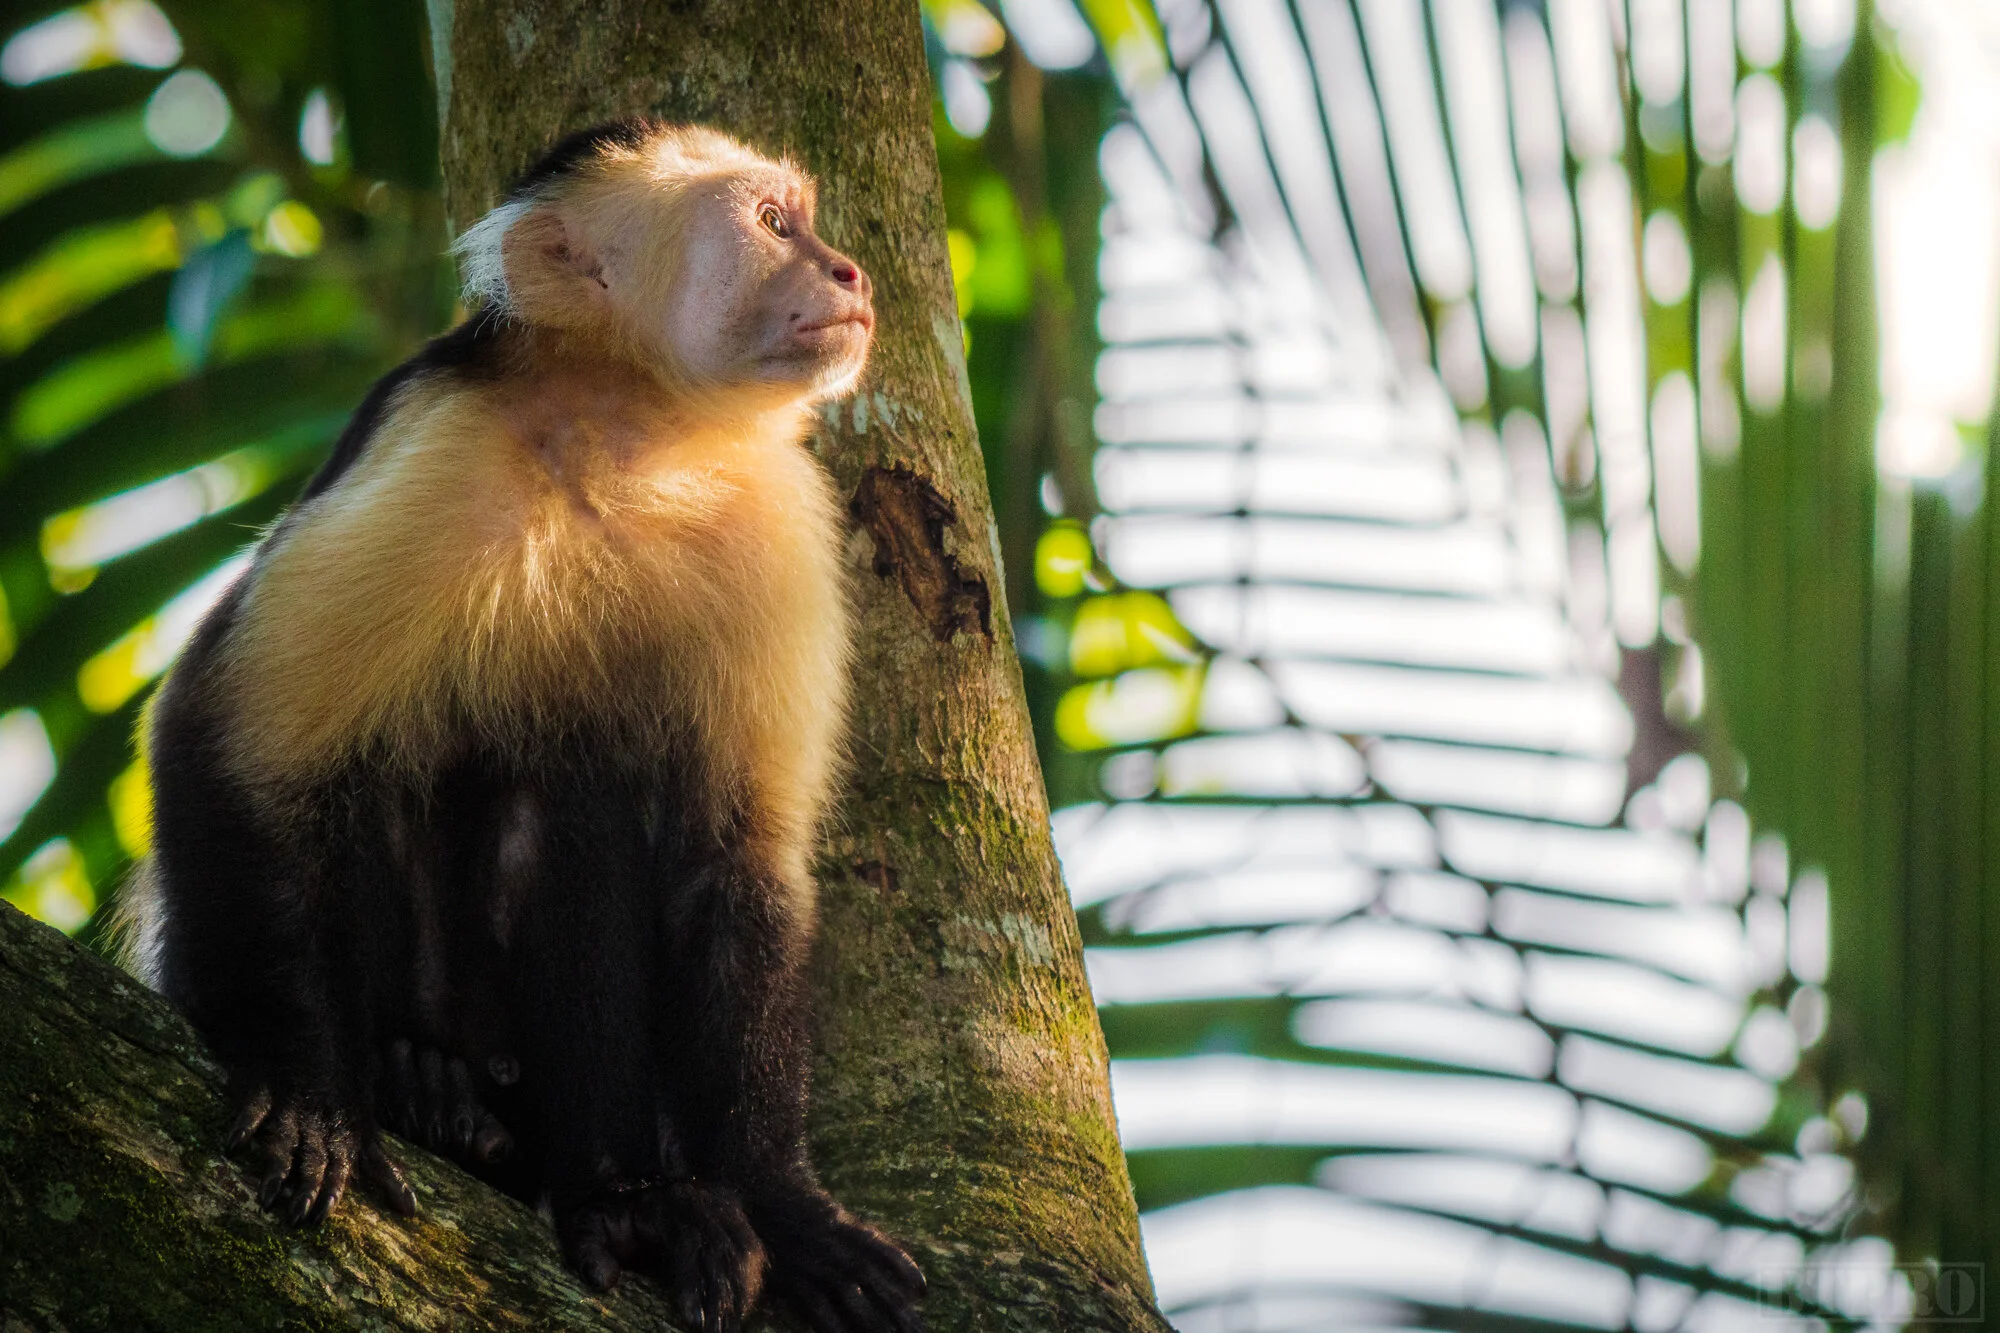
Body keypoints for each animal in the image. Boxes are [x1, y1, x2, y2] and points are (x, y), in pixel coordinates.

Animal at [114, 120, 925, 1333]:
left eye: (805, 223)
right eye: (773, 224)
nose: (849, 273)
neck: (630, 436)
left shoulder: (778, 519)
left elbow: (731, 862)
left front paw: (785, 1206)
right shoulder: (442, 446)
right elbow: (234, 734)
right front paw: (306, 1086)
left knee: (574, 797)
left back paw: (616, 1195)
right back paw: (425, 1090)